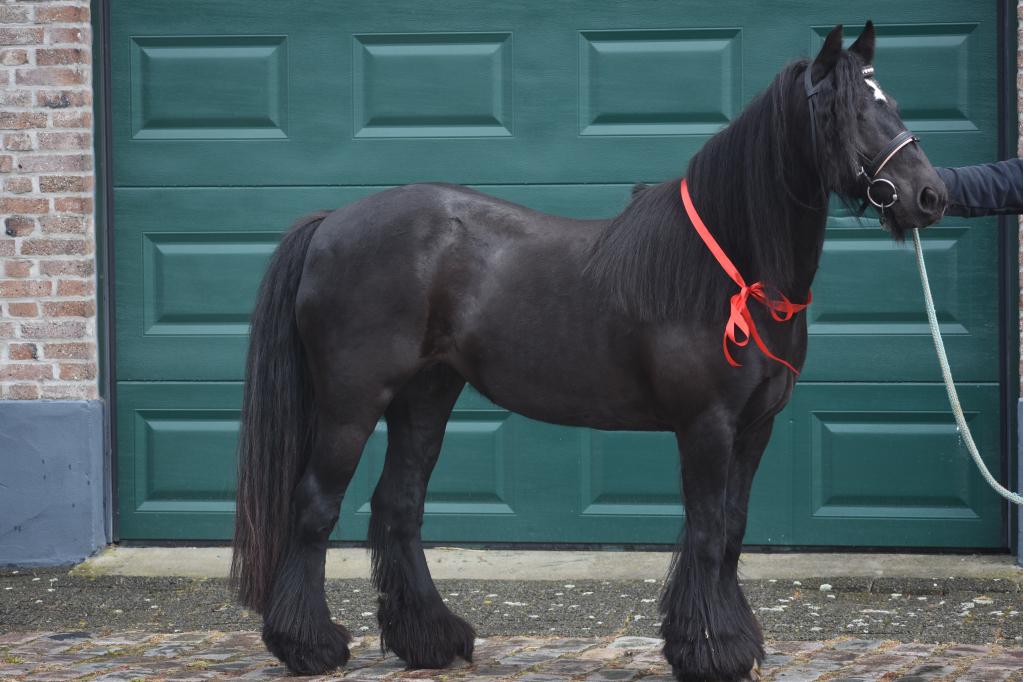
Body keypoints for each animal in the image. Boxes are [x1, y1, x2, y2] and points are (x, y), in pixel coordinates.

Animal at [230, 21, 946, 682]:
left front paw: (726, 643)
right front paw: (712, 651)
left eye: (890, 101)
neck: (731, 274)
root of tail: (331, 223)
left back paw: (431, 640)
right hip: (352, 401)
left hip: (426, 395)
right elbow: (709, 532)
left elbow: (734, 529)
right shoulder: (707, 426)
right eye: (849, 111)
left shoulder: (755, 428)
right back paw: (309, 647)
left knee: (398, 506)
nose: (929, 195)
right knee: (315, 506)